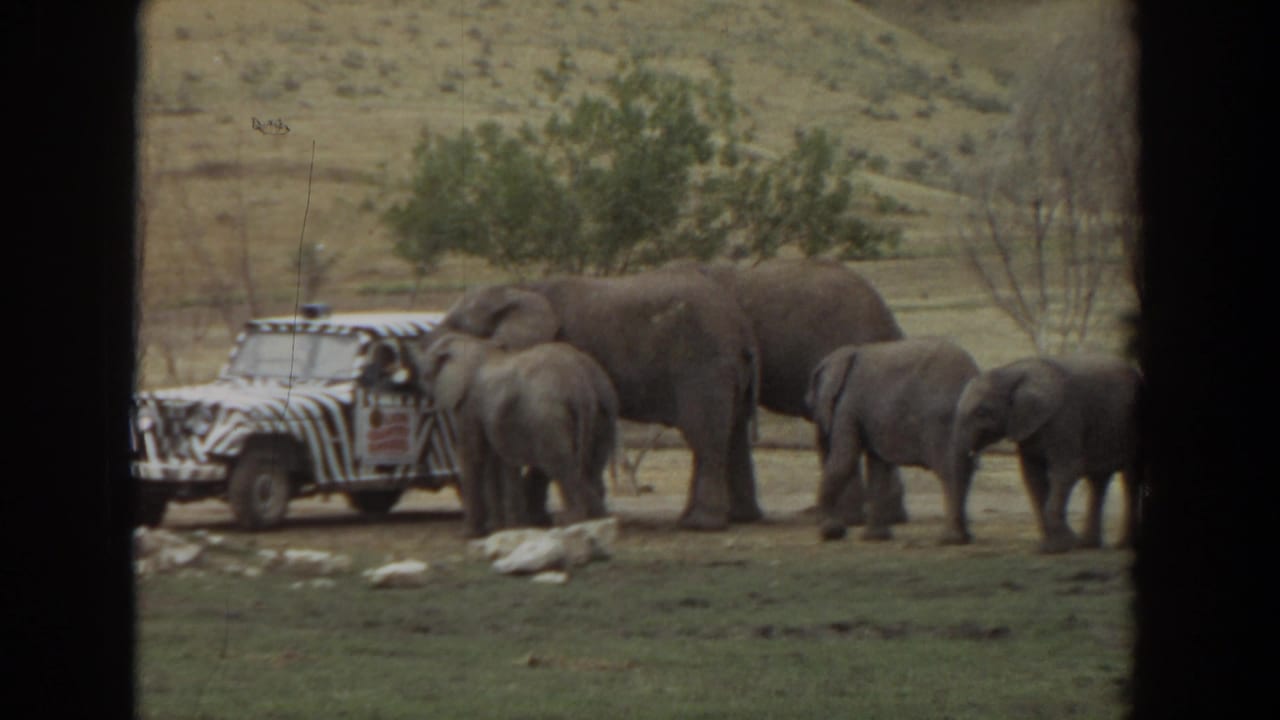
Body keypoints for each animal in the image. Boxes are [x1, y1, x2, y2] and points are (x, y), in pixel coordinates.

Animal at [413, 331, 617, 537]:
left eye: (425, 375)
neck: (475, 343)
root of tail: (581, 383)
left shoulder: (469, 405)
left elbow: (475, 455)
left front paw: (469, 534)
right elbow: (497, 460)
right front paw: (503, 528)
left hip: (547, 416)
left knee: (561, 466)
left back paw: (570, 521)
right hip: (604, 411)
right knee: (592, 466)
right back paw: (598, 517)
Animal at [438, 269, 760, 531]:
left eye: (455, 323)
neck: (519, 289)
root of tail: (742, 328)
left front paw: (540, 520)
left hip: (704, 364)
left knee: (705, 436)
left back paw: (700, 524)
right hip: (728, 371)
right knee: (733, 433)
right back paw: (732, 518)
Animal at [805, 337, 980, 543]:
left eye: (811, 405)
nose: (837, 530)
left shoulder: (848, 405)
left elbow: (845, 460)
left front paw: (832, 532)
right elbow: (878, 466)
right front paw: (874, 538)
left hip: (942, 422)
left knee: (949, 471)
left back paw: (950, 539)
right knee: (964, 470)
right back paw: (964, 537)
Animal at [951, 354, 1141, 554]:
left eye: (982, 412)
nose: (964, 539)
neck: (1010, 372)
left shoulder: (1064, 416)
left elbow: (1066, 470)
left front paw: (1060, 546)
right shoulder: (1027, 425)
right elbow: (1033, 476)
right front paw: (1053, 546)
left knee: (1130, 479)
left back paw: (1122, 546)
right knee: (1099, 481)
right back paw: (1087, 545)